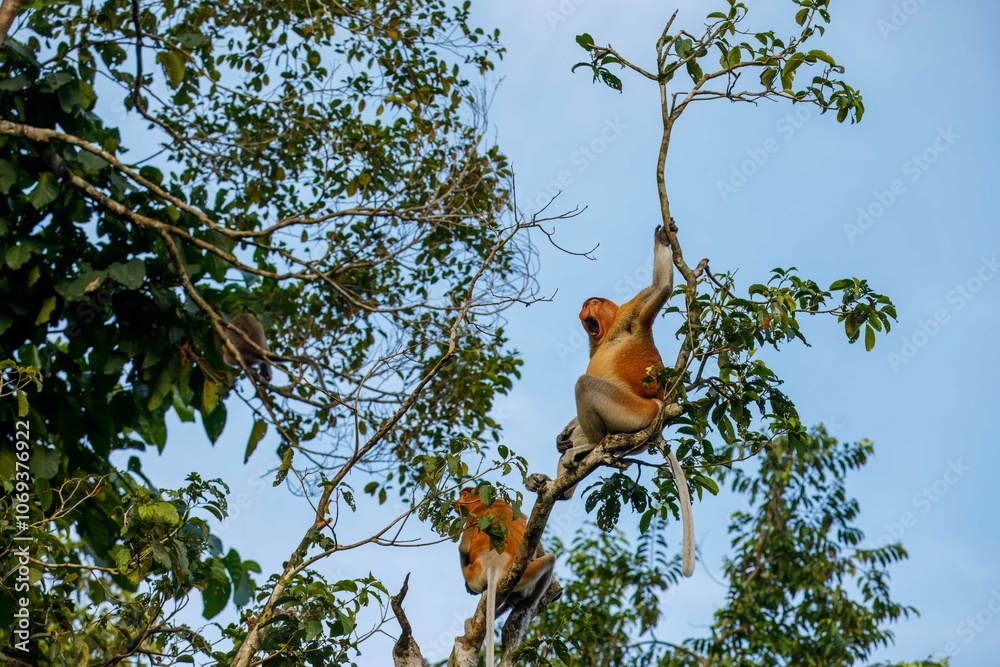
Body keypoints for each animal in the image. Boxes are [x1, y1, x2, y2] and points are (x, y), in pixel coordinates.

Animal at [456, 487, 555, 667]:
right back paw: (526, 604)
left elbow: (463, 548)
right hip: (523, 575)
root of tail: (493, 565)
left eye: (463, 495)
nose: (458, 501)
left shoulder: (472, 516)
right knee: (551, 559)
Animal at [526, 224, 695, 577]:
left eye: (592, 303)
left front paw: (662, 239)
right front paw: (562, 434)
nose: (582, 310)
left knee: (585, 386)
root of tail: (659, 410)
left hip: (635, 413)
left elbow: (661, 287)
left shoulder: (631, 313)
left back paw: (587, 450)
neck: (606, 333)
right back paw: (554, 480)